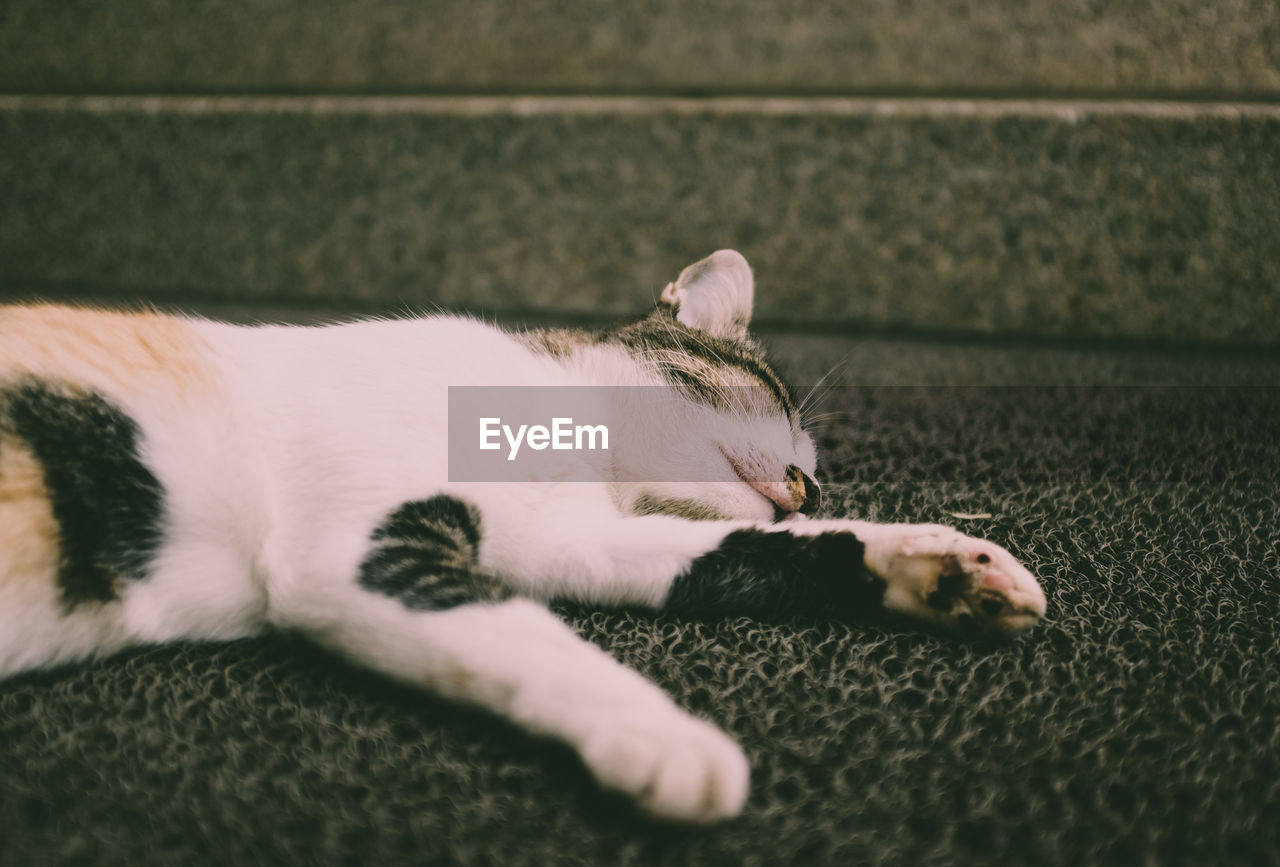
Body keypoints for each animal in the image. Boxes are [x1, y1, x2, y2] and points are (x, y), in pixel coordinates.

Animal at [0, 252, 1039, 824]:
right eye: (775, 400)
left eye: (821, 476)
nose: (808, 484)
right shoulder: (352, 551)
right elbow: (539, 638)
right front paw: (666, 735)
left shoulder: (574, 542)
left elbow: (746, 558)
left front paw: (940, 565)